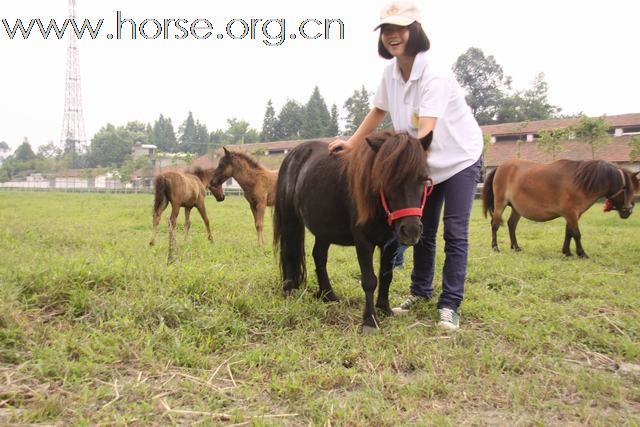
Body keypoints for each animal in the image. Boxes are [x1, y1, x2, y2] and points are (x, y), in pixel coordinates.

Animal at [272, 132, 432, 332]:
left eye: (424, 179)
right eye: (387, 179)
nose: (411, 231)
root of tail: (293, 155)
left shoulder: (392, 242)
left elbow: (386, 275)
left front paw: (385, 309)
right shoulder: (363, 241)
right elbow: (369, 280)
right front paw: (370, 320)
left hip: (325, 228)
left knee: (319, 256)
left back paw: (328, 295)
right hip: (290, 219)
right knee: (289, 253)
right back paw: (290, 291)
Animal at [482, 160, 636, 258]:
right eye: (626, 188)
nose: (628, 211)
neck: (580, 183)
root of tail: (500, 167)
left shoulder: (573, 215)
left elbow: (569, 233)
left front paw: (567, 252)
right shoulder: (571, 213)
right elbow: (576, 234)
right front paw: (581, 253)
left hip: (516, 209)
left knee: (511, 225)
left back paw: (516, 247)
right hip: (500, 203)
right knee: (495, 224)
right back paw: (495, 247)